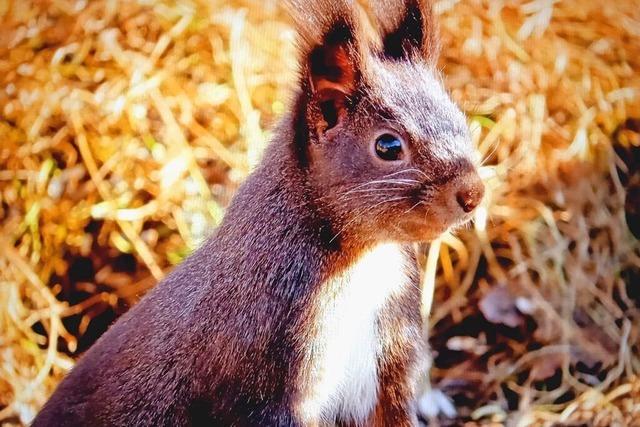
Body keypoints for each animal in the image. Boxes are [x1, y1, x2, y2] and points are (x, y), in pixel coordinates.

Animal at [32, 0, 482, 426]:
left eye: (460, 118)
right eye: (388, 146)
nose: (474, 192)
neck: (366, 260)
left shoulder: (389, 356)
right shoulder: (263, 375)